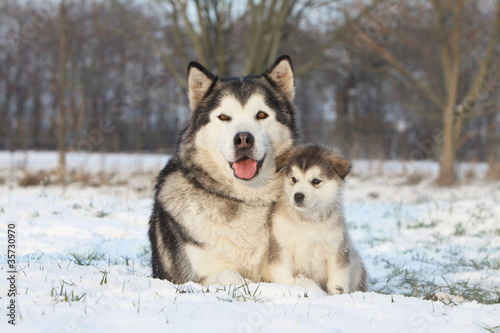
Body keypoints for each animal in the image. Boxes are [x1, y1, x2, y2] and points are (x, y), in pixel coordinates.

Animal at [148, 55, 296, 284]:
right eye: (224, 117)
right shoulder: (202, 275)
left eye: (261, 115)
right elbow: (236, 277)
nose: (243, 139)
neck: (245, 198)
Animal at [262, 145, 368, 294]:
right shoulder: (280, 246)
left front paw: (337, 294)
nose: (298, 196)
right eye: (294, 179)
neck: (308, 221)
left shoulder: (337, 249)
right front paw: (291, 286)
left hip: (357, 265)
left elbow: (337, 280)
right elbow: (284, 275)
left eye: (316, 181)